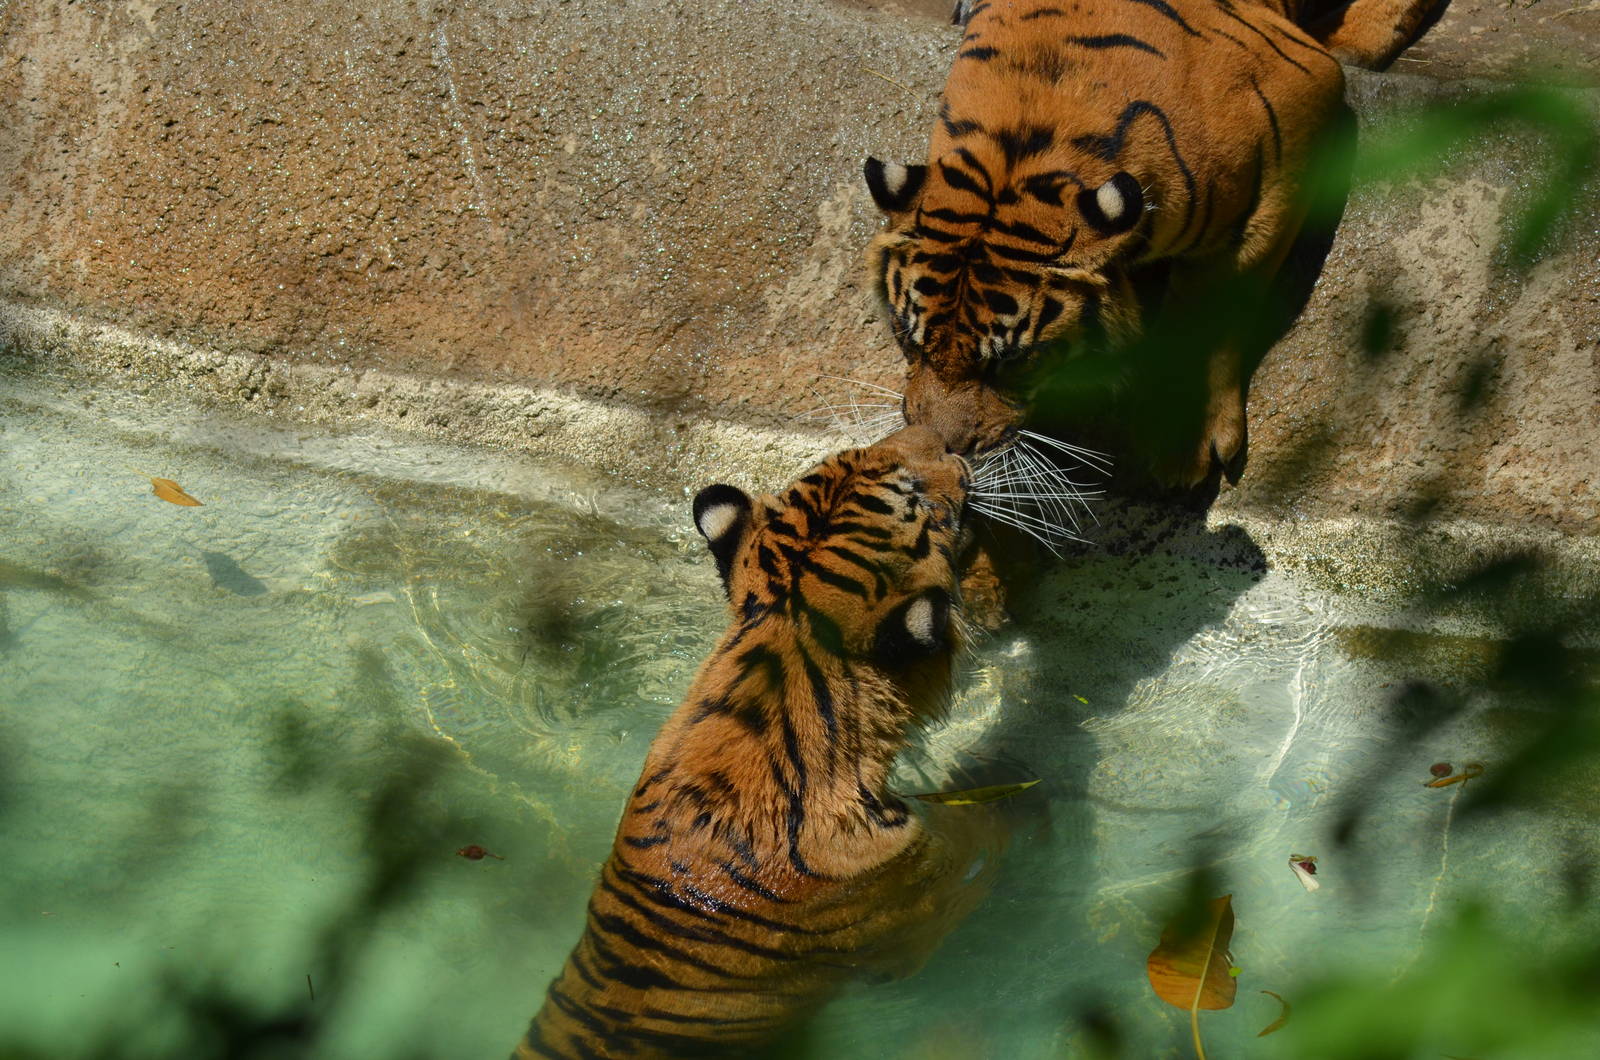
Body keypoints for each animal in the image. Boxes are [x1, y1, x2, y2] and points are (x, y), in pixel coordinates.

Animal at [864, 0, 1445, 485]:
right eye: (906, 338)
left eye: (1016, 363)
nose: (940, 448)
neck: (1022, 146)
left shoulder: (1294, 119)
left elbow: (1211, 309)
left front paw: (1179, 442)